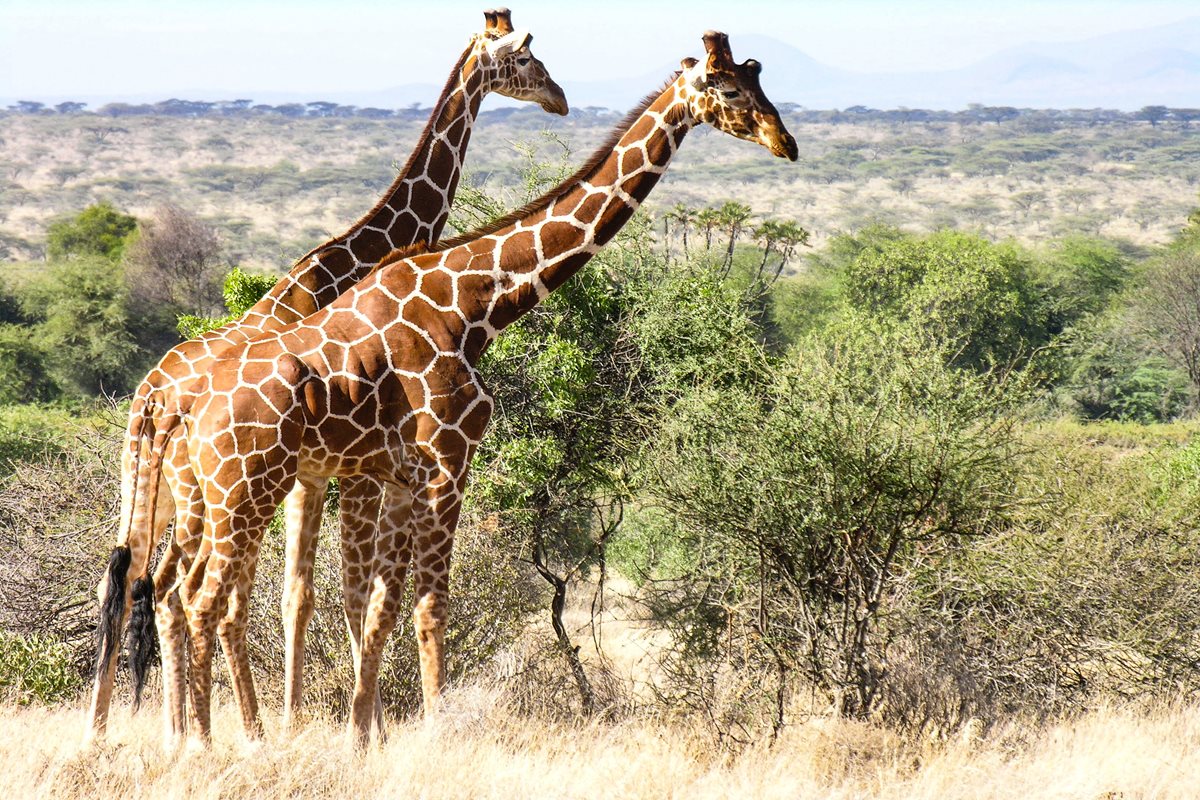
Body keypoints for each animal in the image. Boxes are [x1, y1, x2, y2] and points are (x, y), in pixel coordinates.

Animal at [88, 6, 566, 748]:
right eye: (524, 59)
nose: (560, 98)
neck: (349, 259)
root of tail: (152, 396)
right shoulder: (332, 470)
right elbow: (317, 595)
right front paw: (335, 727)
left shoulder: (324, 471)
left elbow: (310, 595)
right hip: (211, 491)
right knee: (176, 590)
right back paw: (204, 731)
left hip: (158, 487)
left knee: (133, 581)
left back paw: (123, 730)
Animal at [124, 28, 796, 748]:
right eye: (730, 90)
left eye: (760, 81)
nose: (786, 142)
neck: (475, 302)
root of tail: (168, 402)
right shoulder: (444, 463)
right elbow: (425, 607)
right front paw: (430, 729)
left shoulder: (390, 475)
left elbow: (374, 608)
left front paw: (364, 737)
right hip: (244, 490)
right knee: (200, 598)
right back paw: (208, 740)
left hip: (206, 493)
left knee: (161, 586)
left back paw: (181, 734)